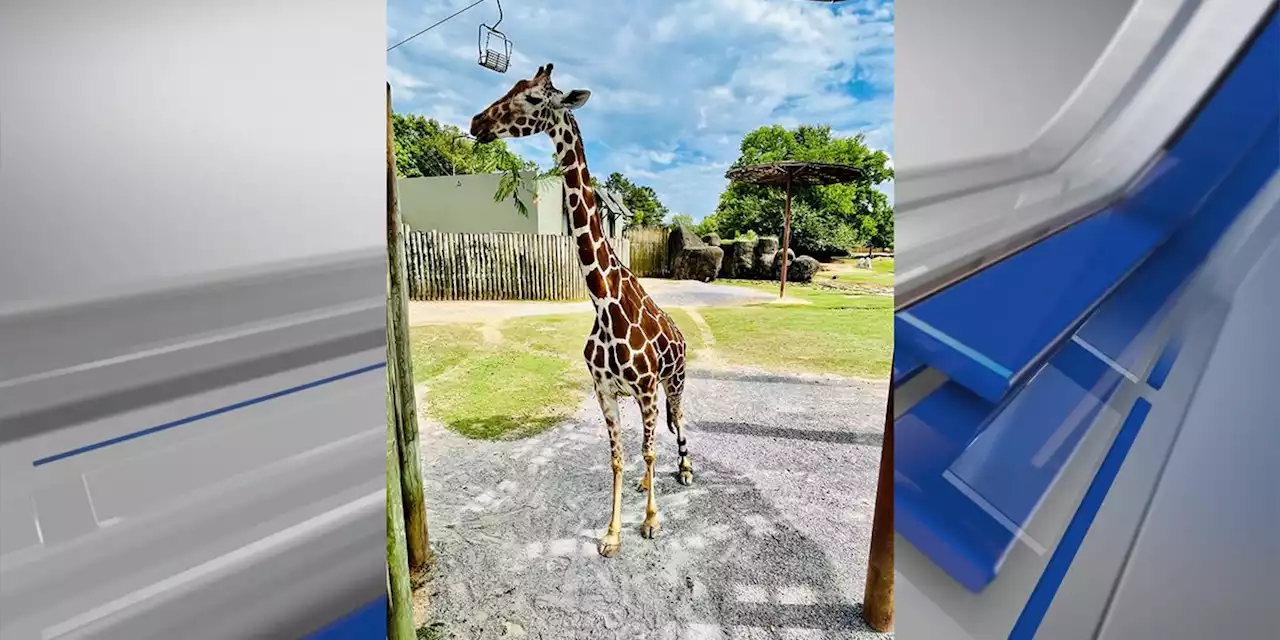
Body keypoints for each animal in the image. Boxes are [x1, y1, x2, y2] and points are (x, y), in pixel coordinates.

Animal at [468, 62, 691, 558]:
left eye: (534, 98)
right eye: (510, 86)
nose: (477, 122)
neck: (605, 303)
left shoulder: (646, 388)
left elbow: (648, 450)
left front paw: (650, 521)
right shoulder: (604, 390)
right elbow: (618, 458)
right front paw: (612, 533)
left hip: (674, 381)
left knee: (679, 421)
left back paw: (686, 469)